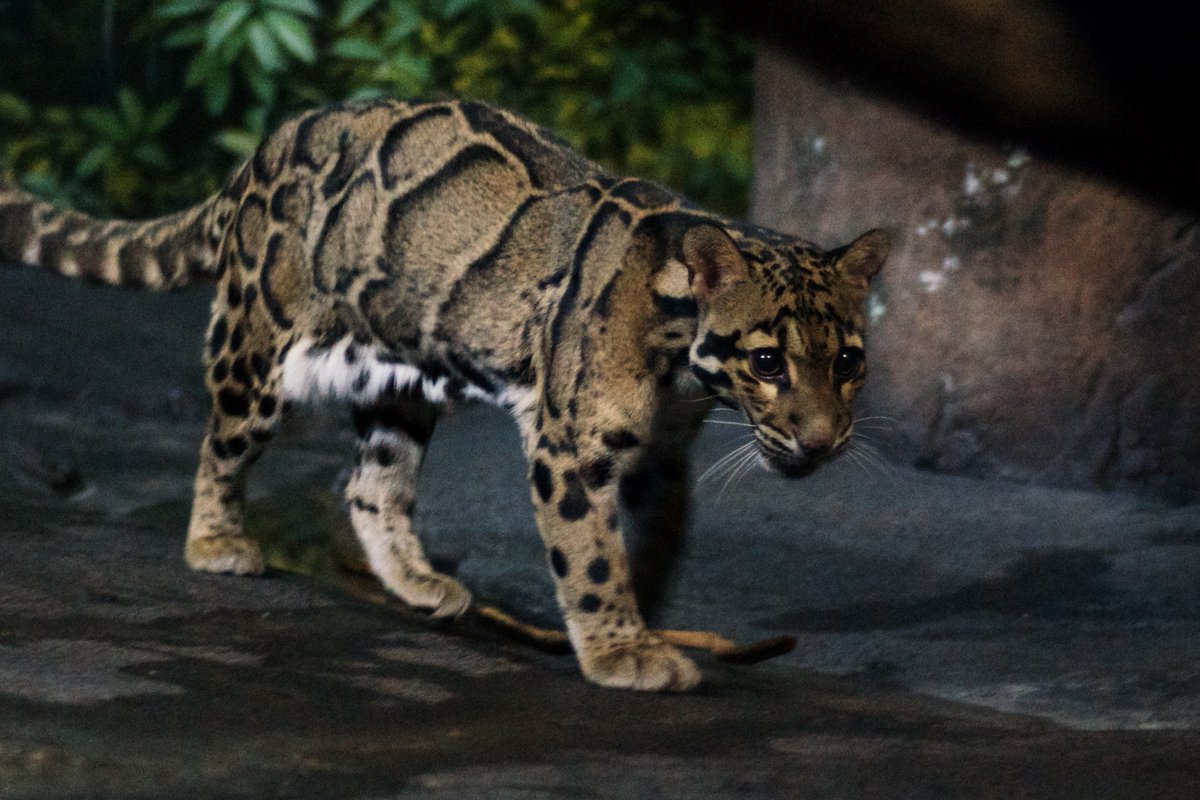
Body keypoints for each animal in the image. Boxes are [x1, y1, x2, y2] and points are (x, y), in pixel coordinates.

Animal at [0, 99, 888, 691]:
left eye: (849, 361)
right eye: (768, 361)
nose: (821, 441)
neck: (678, 361)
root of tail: (269, 146)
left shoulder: (660, 456)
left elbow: (652, 543)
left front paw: (640, 619)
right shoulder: (571, 446)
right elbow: (590, 551)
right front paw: (617, 646)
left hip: (395, 378)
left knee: (369, 485)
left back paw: (416, 579)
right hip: (260, 342)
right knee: (222, 443)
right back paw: (216, 540)